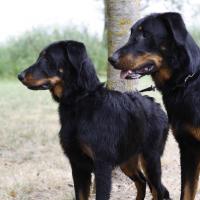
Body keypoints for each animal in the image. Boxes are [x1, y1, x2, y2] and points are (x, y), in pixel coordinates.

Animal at [18, 39, 170, 199]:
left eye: (47, 59)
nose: (20, 76)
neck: (80, 100)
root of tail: (158, 107)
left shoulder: (102, 165)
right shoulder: (78, 165)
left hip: (150, 159)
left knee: (158, 190)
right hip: (128, 160)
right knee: (142, 182)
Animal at [109, 12, 200, 200]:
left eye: (145, 34)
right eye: (131, 33)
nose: (111, 59)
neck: (188, 82)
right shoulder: (188, 147)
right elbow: (186, 192)